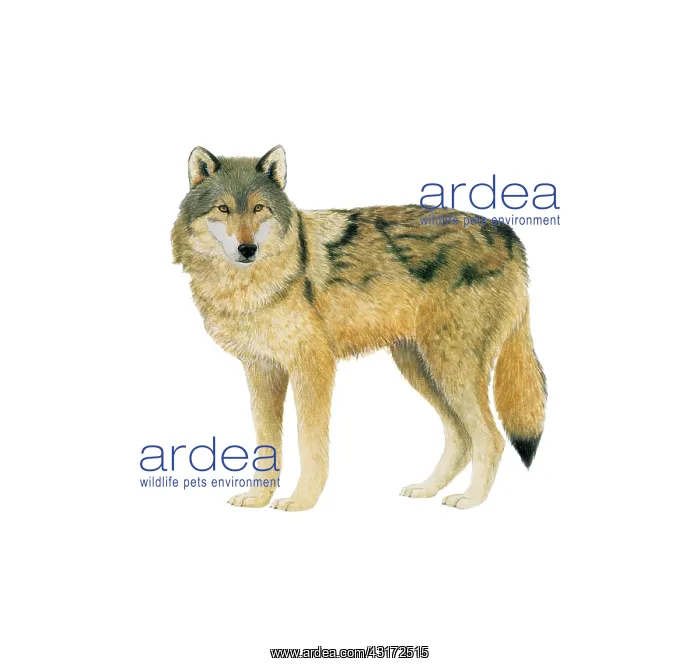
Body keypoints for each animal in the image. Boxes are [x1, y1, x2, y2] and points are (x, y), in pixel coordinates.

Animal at [171, 145, 547, 511]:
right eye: (223, 208)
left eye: (258, 208)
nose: (247, 249)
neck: (249, 285)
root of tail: (508, 234)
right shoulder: (263, 370)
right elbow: (267, 445)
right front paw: (256, 500)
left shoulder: (313, 367)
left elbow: (310, 442)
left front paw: (301, 500)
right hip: (421, 370)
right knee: (461, 437)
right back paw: (427, 490)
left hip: (451, 370)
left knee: (491, 437)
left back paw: (470, 500)